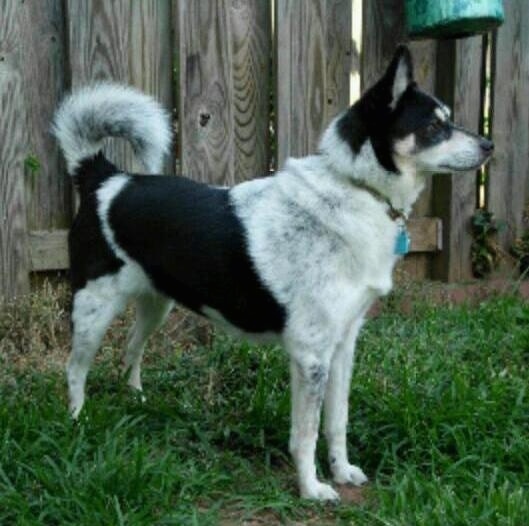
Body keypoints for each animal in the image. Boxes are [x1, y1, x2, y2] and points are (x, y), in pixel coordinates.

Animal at [52, 46, 490, 504]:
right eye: (433, 126)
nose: (489, 145)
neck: (356, 188)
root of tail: (104, 177)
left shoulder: (343, 346)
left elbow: (337, 422)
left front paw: (342, 471)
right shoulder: (311, 354)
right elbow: (306, 433)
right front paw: (312, 488)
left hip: (157, 305)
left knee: (130, 351)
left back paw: (136, 399)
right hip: (93, 309)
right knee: (74, 369)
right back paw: (78, 422)